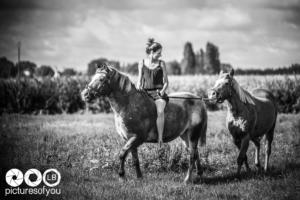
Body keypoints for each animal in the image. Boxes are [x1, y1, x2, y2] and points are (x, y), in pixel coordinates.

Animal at [79, 64, 207, 183]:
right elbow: (135, 159)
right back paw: (199, 174)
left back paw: (187, 180)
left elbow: (122, 154)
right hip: (185, 136)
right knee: (195, 153)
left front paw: (121, 176)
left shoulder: (137, 138)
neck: (128, 104)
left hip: (193, 135)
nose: (85, 95)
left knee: (192, 155)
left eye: (101, 79)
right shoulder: (130, 139)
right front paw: (139, 177)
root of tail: (199, 100)